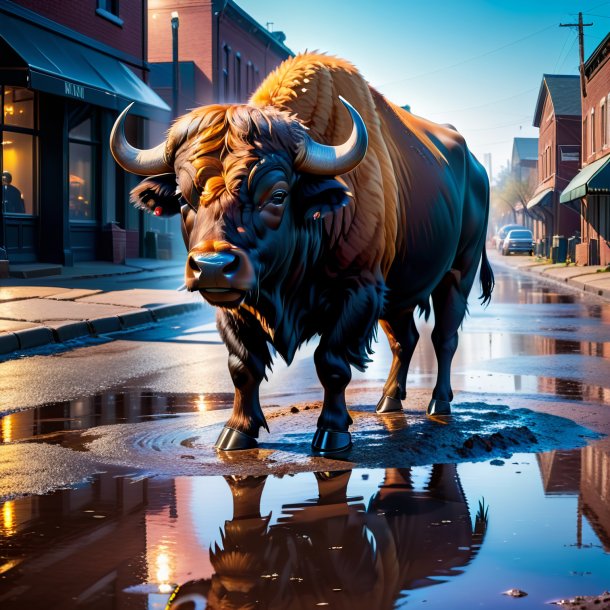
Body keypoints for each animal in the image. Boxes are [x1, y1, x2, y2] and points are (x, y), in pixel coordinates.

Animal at [109, 53, 490, 452]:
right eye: (183, 198)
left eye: (277, 195)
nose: (212, 266)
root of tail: (475, 166)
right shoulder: (236, 305)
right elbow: (243, 366)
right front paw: (236, 432)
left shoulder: (359, 291)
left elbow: (331, 363)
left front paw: (332, 433)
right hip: (397, 292)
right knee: (405, 340)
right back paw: (388, 402)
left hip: (457, 275)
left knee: (443, 338)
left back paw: (439, 404)